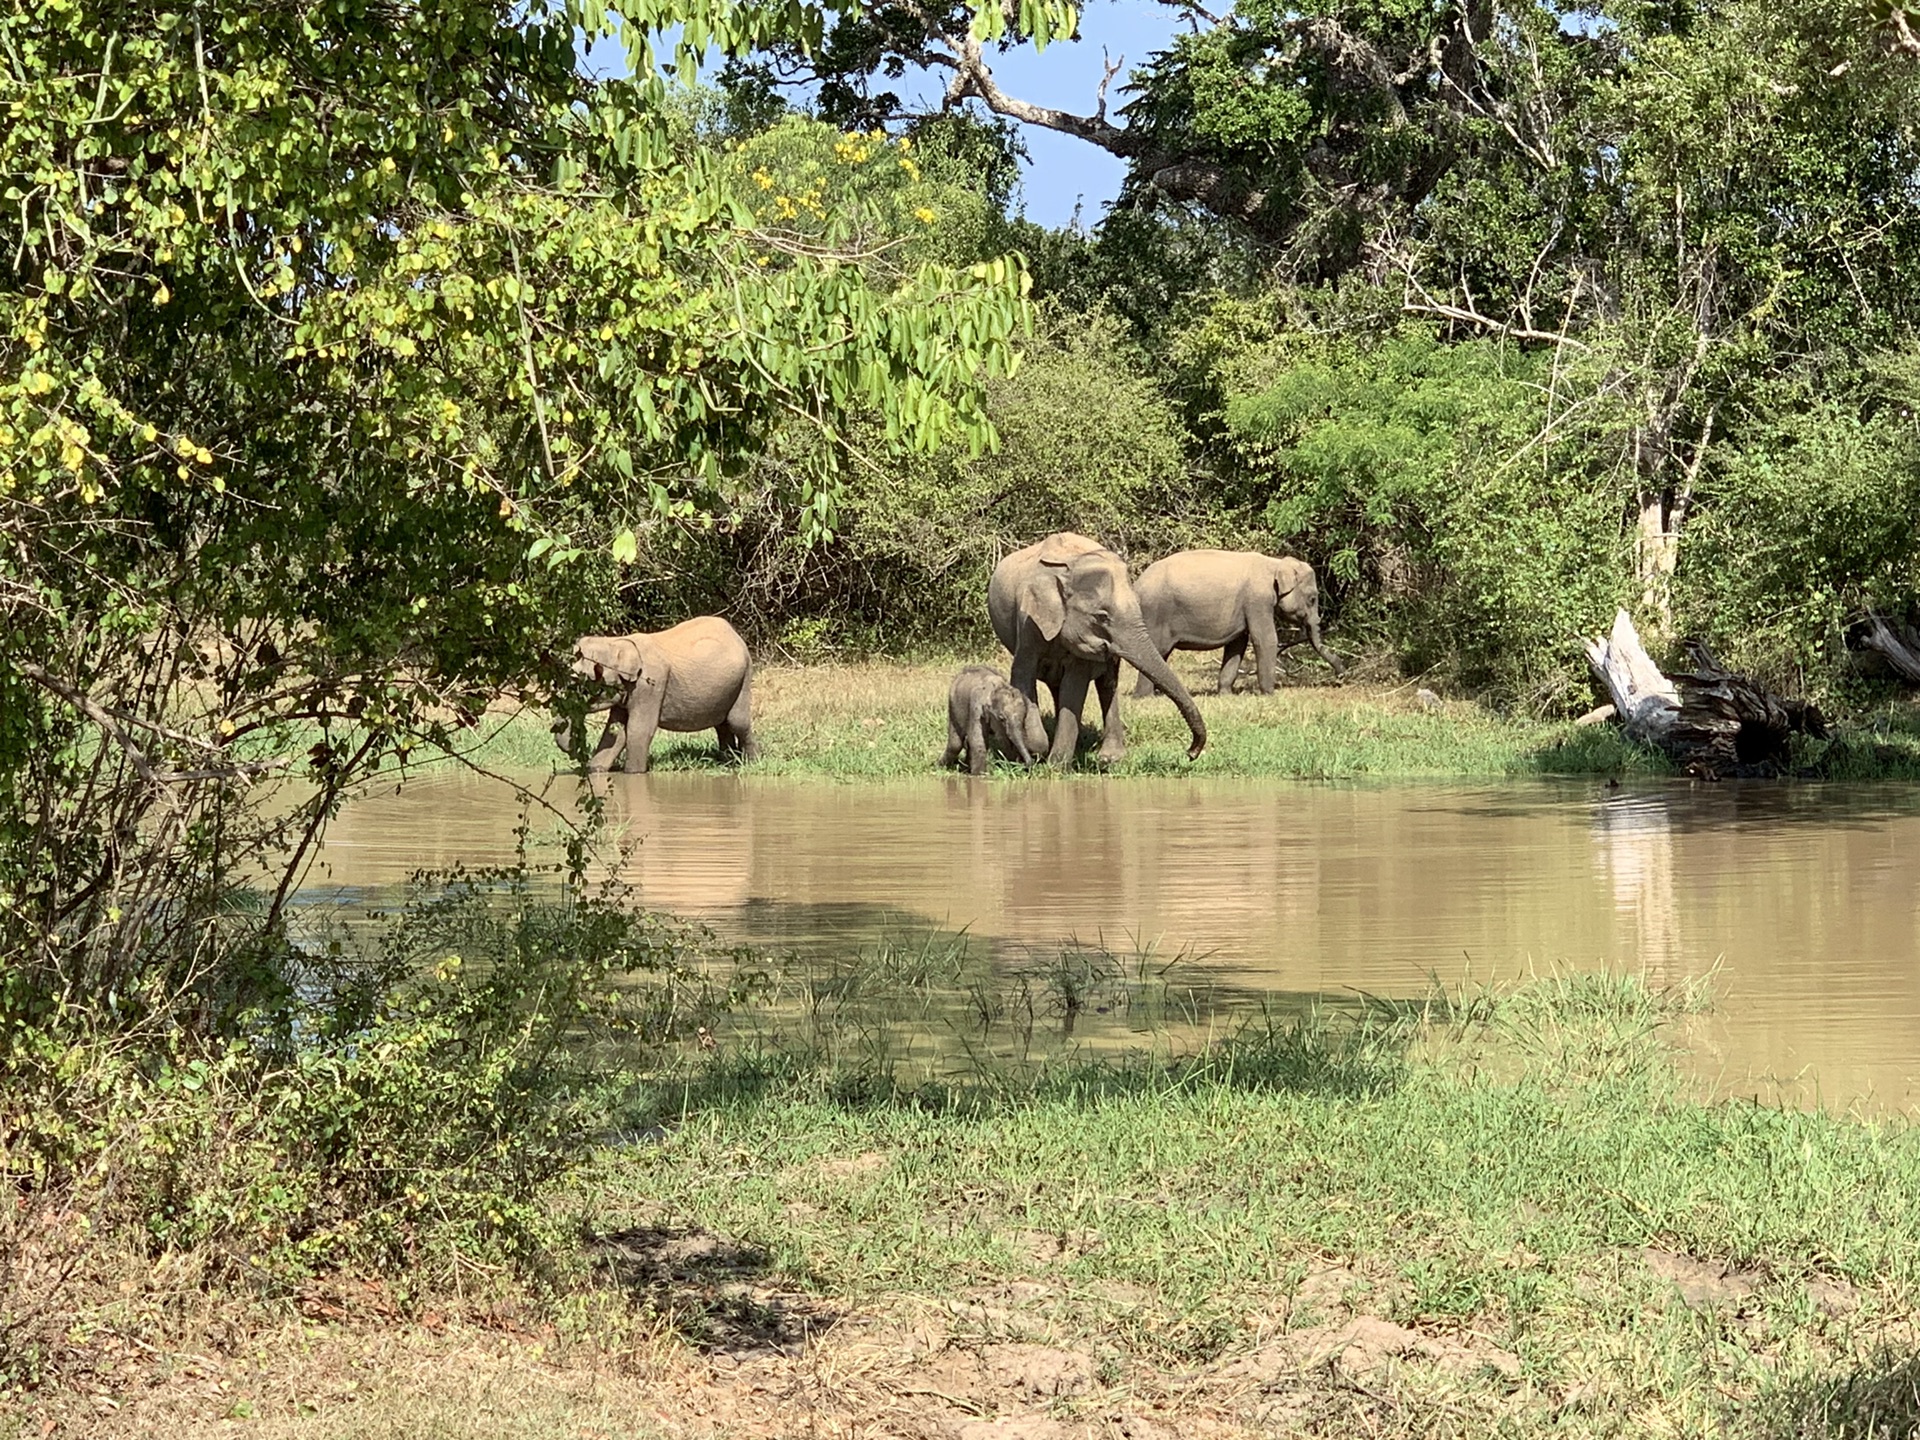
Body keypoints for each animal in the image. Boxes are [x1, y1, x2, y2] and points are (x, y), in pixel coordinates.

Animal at [552, 618, 752, 779]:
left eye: (583, 684)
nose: (575, 751)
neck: (616, 643)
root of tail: (736, 635)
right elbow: (616, 731)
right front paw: (595, 771)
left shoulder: (650, 684)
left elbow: (638, 729)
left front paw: (633, 774)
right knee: (722, 725)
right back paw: (728, 762)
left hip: (744, 679)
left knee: (737, 723)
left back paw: (749, 762)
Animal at [990, 537, 1198, 771]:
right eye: (1102, 617)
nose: (1190, 753)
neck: (1069, 569)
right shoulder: (1027, 622)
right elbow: (1023, 675)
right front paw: (1034, 749)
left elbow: (1075, 686)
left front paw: (1055, 767)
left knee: (1106, 684)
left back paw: (1109, 757)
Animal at [1128, 545, 1344, 698]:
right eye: (1312, 598)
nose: (1340, 679)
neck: (1275, 564)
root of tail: (1135, 585)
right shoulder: (1257, 600)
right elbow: (1265, 639)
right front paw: (1269, 694)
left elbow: (1237, 644)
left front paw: (1225, 695)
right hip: (1155, 613)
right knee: (1155, 650)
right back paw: (1144, 697)